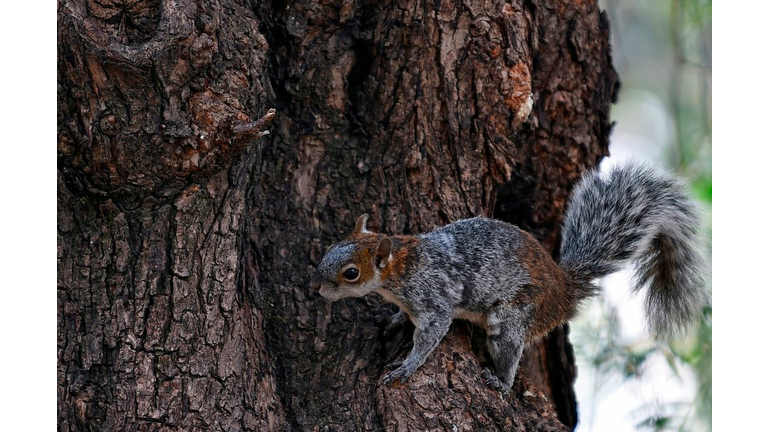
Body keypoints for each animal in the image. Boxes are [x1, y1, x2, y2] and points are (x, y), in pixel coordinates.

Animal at [308, 164, 708, 394]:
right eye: (329, 247)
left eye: (351, 273)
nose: (317, 289)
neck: (401, 266)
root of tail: (564, 289)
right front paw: (393, 319)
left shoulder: (432, 296)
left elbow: (431, 334)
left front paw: (407, 366)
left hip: (514, 315)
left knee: (510, 348)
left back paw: (500, 381)